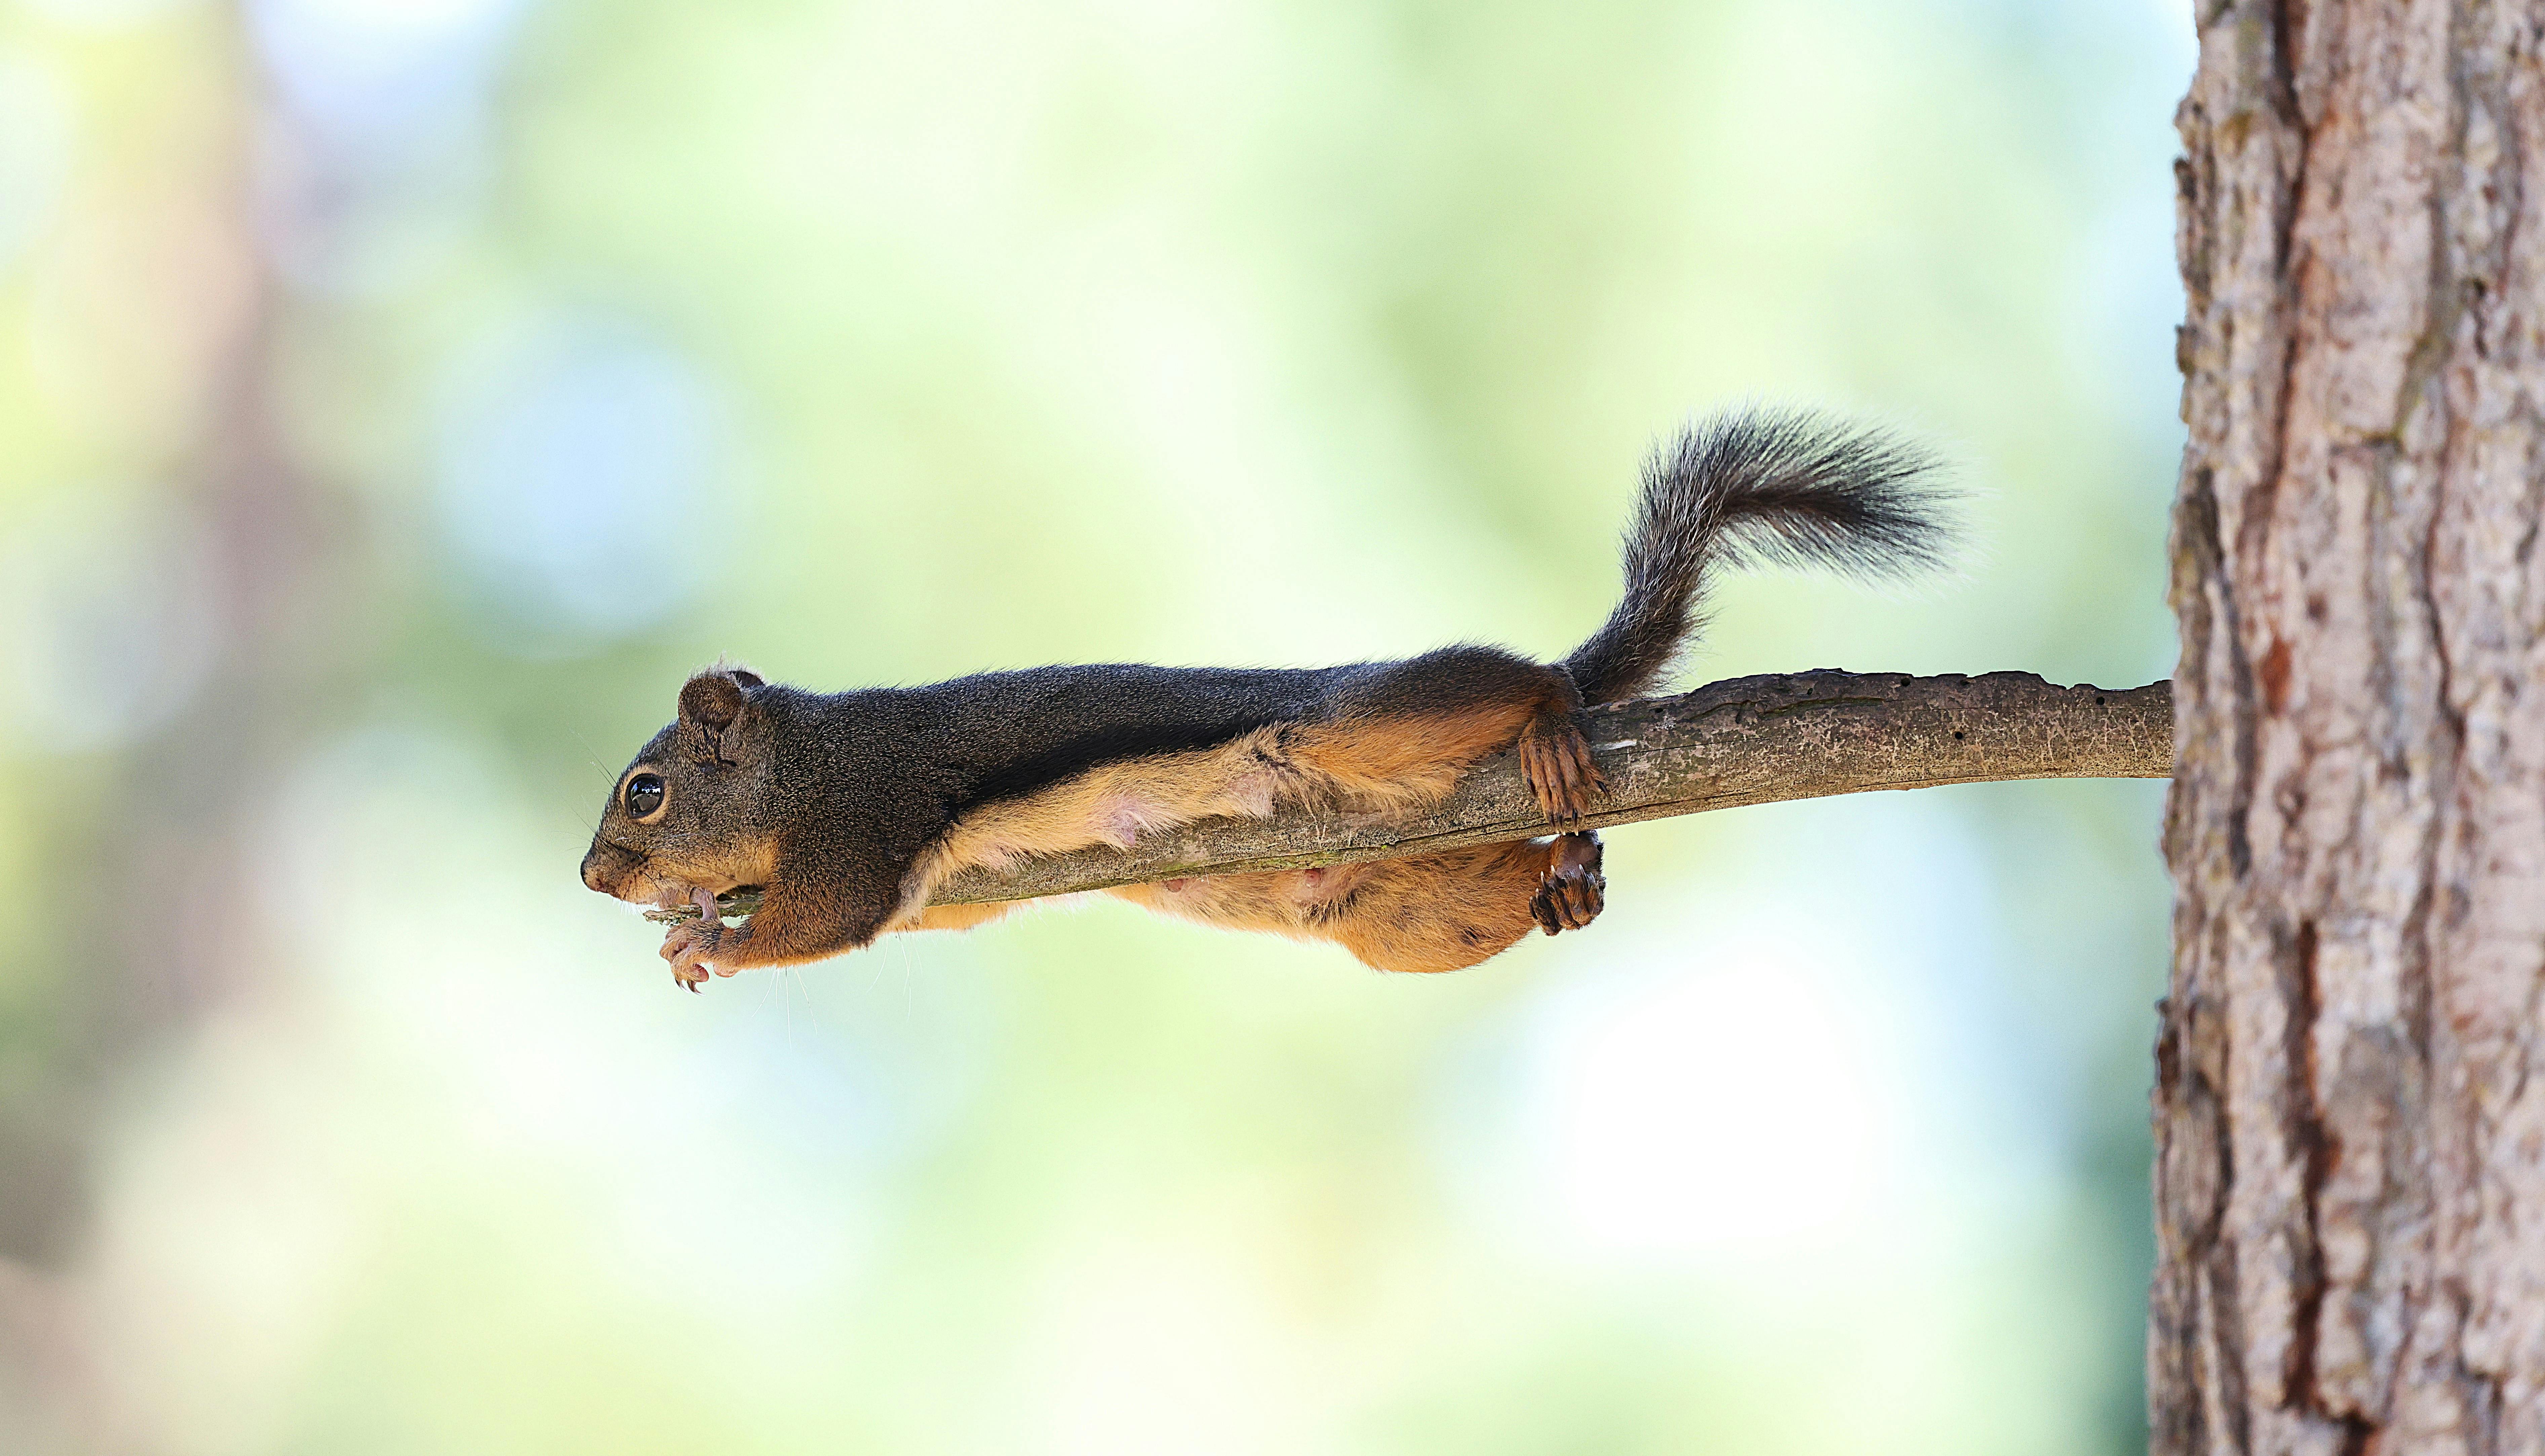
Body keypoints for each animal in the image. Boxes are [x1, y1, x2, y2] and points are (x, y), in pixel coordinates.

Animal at [580, 406, 1955, 991]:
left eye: (645, 791)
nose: (593, 877)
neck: (798, 763)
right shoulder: (940, 883)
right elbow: (935, 911)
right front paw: (690, 926)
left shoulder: (861, 815)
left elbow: (829, 917)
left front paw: (714, 939)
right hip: (1400, 917)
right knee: (1498, 892)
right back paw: (1567, 876)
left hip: (1352, 723)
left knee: (1510, 683)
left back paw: (1554, 723)